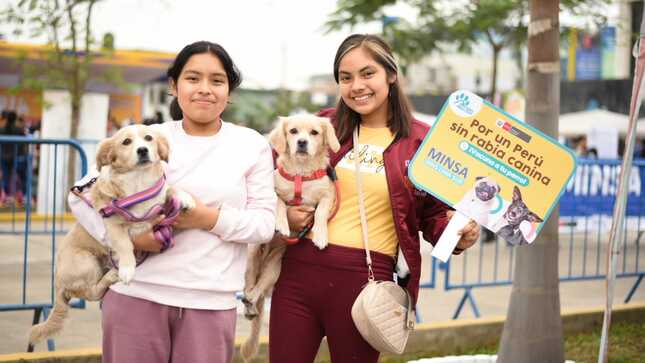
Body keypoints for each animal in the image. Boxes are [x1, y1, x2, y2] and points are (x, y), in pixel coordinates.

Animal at [28, 125, 194, 346]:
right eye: (126, 142)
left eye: (149, 138)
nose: (142, 150)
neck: (138, 183)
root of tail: (58, 285)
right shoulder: (113, 225)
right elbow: (125, 245)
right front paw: (127, 269)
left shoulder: (159, 203)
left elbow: (170, 188)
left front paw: (185, 197)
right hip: (86, 261)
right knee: (91, 292)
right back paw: (112, 274)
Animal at [240, 115, 340, 362]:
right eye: (293, 131)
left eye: (314, 133)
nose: (302, 142)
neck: (301, 174)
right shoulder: (272, 192)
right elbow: (279, 205)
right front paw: (282, 225)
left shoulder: (328, 196)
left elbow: (320, 212)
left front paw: (320, 235)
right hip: (252, 258)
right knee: (248, 287)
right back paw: (248, 303)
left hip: (273, 270)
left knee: (257, 292)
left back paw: (252, 305)